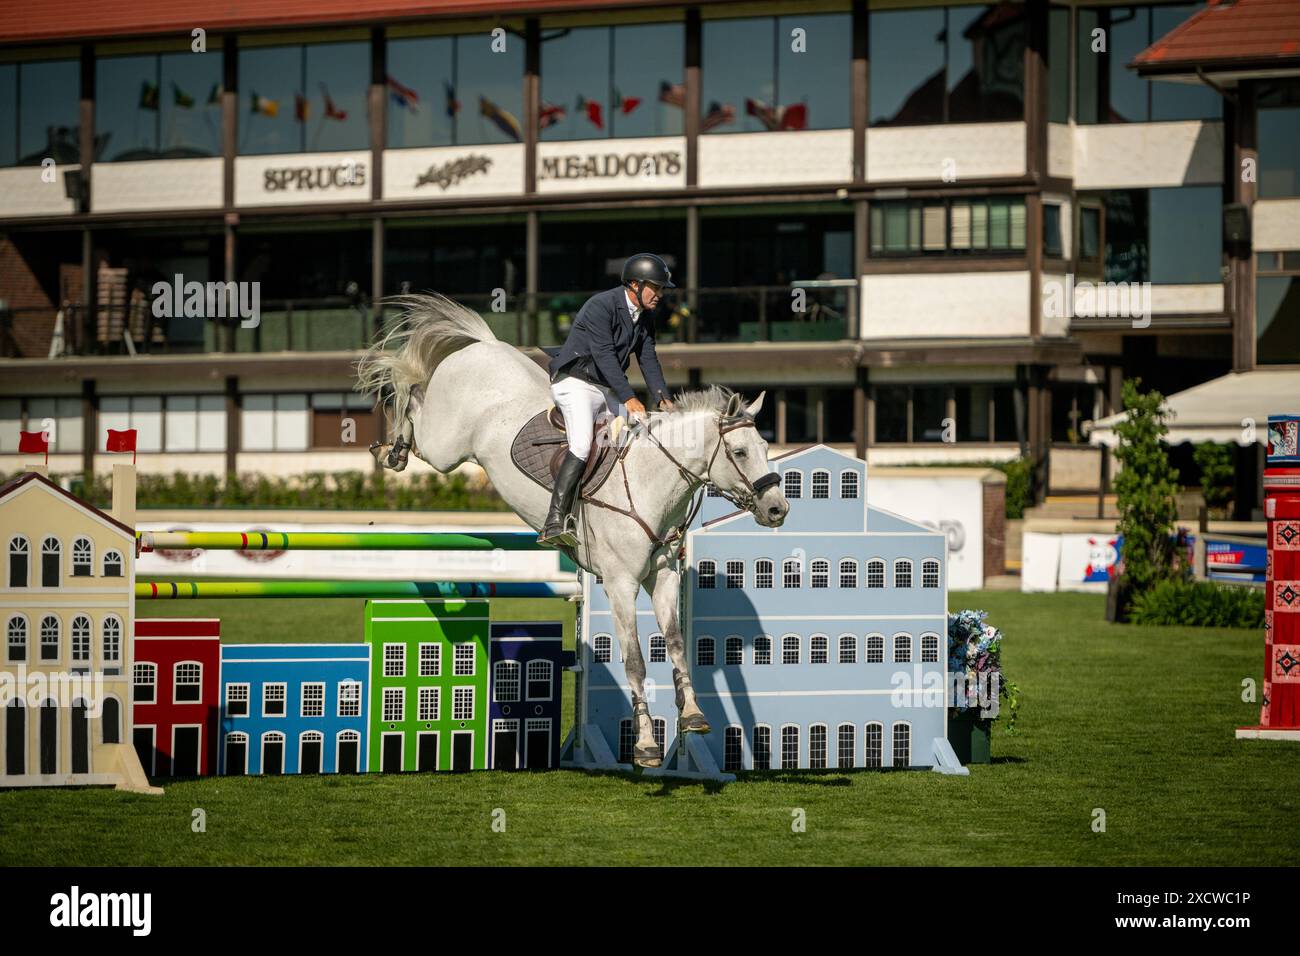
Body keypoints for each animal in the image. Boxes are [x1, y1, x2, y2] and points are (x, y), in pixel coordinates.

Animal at [356, 295, 785, 764]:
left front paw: (692, 716)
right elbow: (635, 661)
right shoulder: (619, 584)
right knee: (414, 393)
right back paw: (391, 448)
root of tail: (485, 345)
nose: (777, 509)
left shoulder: (664, 577)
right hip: (445, 448)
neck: (650, 480)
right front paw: (646, 745)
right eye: (739, 452)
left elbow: (675, 646)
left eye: (766, 447)